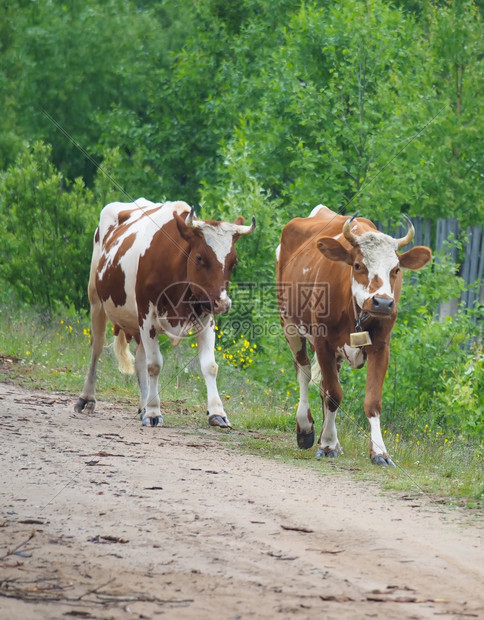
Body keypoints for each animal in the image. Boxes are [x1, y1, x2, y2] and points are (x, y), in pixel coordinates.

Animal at [74, 199, 255, 426]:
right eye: (199, 258)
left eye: (234, 262)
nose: (223, 303)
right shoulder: (147, 315)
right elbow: (155, 365)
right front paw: (154, 412)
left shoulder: (207, 317)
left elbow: (209, 366)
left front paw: (217, 412)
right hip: (96, 300)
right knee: (97, 349)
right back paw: (87, 398)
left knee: (140, 360)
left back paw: (143, 405)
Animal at [276, 205, 432, 464]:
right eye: (358, 265)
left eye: (396, 269)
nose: (383, 302)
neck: (355, 312)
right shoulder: (323, 342)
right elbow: (333, 394)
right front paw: (327, 444)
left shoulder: (381, 346)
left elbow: (371, 401)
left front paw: (379, 451)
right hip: (289, 324)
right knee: (304, 371)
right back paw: (306, 430)